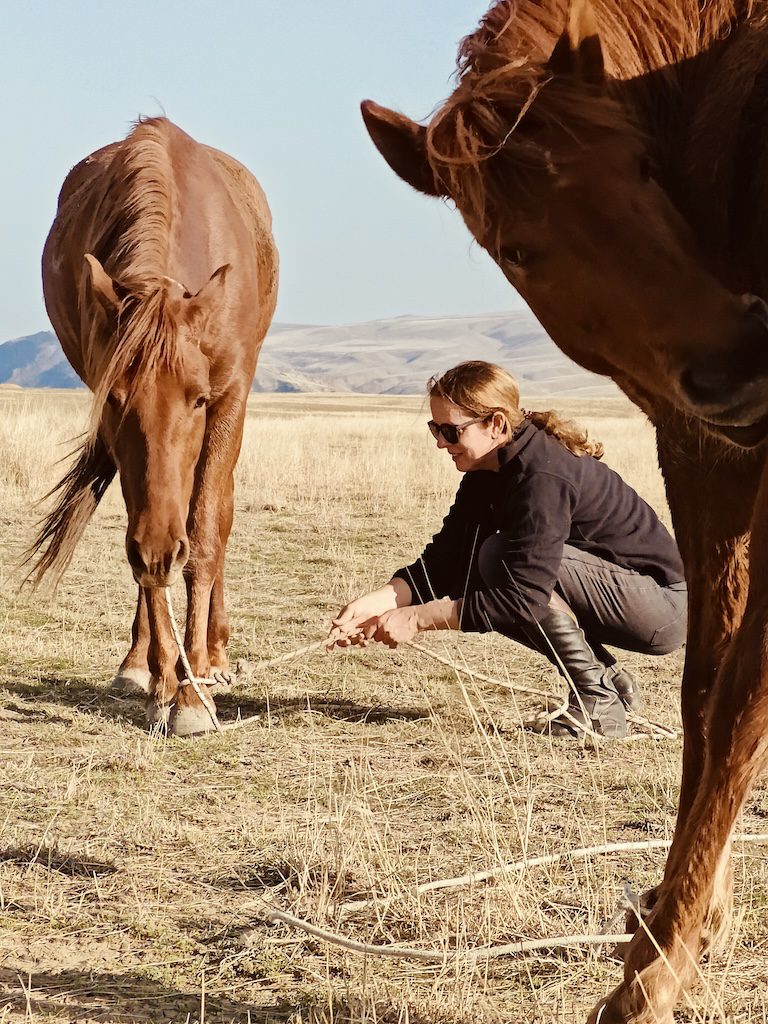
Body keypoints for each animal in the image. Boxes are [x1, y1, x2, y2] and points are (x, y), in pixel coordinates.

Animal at [30, 117, 278, 738]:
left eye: (198, 399)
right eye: (114, 400)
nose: (161, 551)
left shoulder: (229, 398)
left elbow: (208, 531)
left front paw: (193, 692)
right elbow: (147, 555)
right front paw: (165, 682)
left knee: (216, 516)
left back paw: (211, 657)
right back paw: (143, 663)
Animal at [361, 1, 768, 1020]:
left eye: (646, 168)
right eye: (517, 248)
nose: (741, 359)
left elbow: (741, 702)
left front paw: (657, 974)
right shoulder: (706, 449)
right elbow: (707, 694)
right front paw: (681, 922)